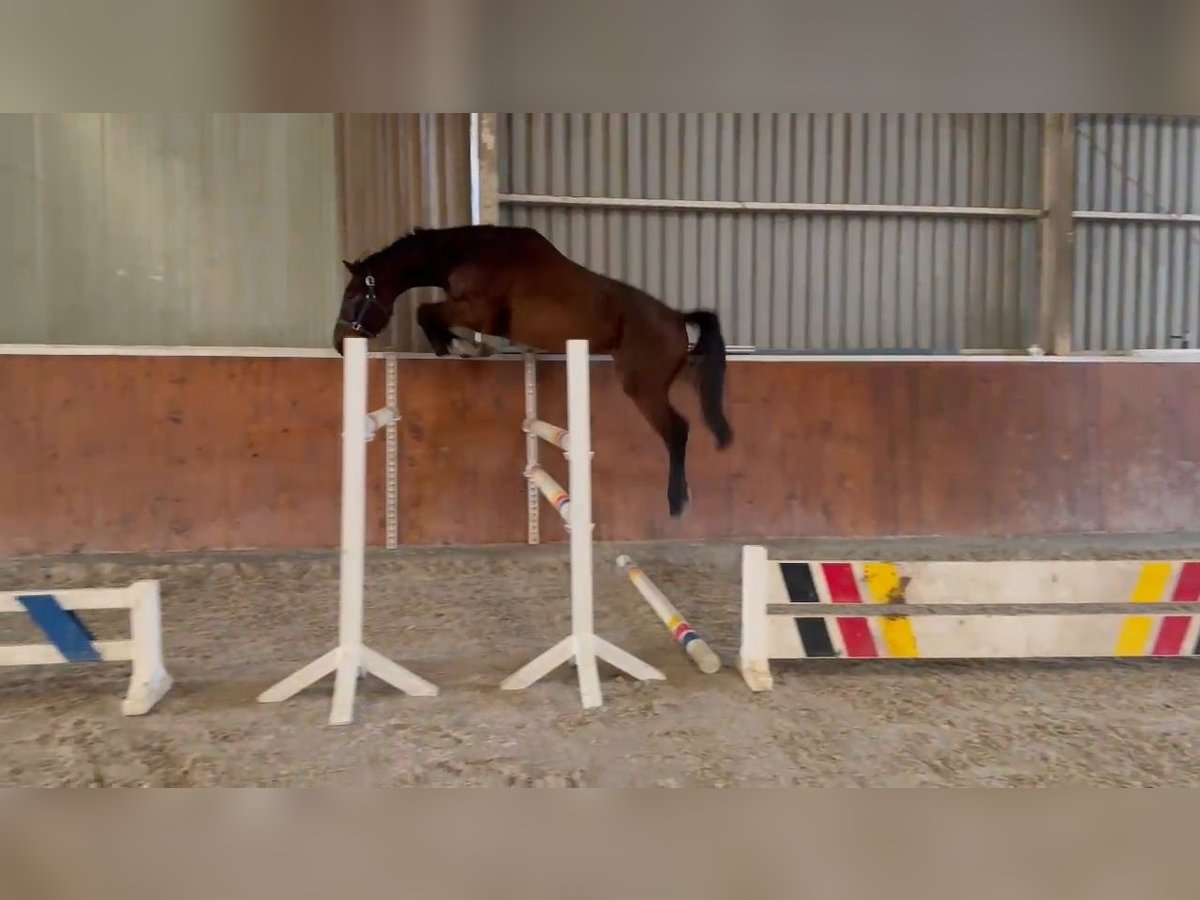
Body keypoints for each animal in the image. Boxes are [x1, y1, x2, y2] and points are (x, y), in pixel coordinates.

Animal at [333, 224, 734, 520]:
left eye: (352, 296)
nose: (339, 343)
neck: (472, 254)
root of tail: (677, 320)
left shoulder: (478, 312)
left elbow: (426, 312)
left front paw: (455, 346)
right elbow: (430, 313)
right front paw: (457, 346)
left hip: (643, 388)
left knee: (677, 431)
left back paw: (677, 503)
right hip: (672, 376)